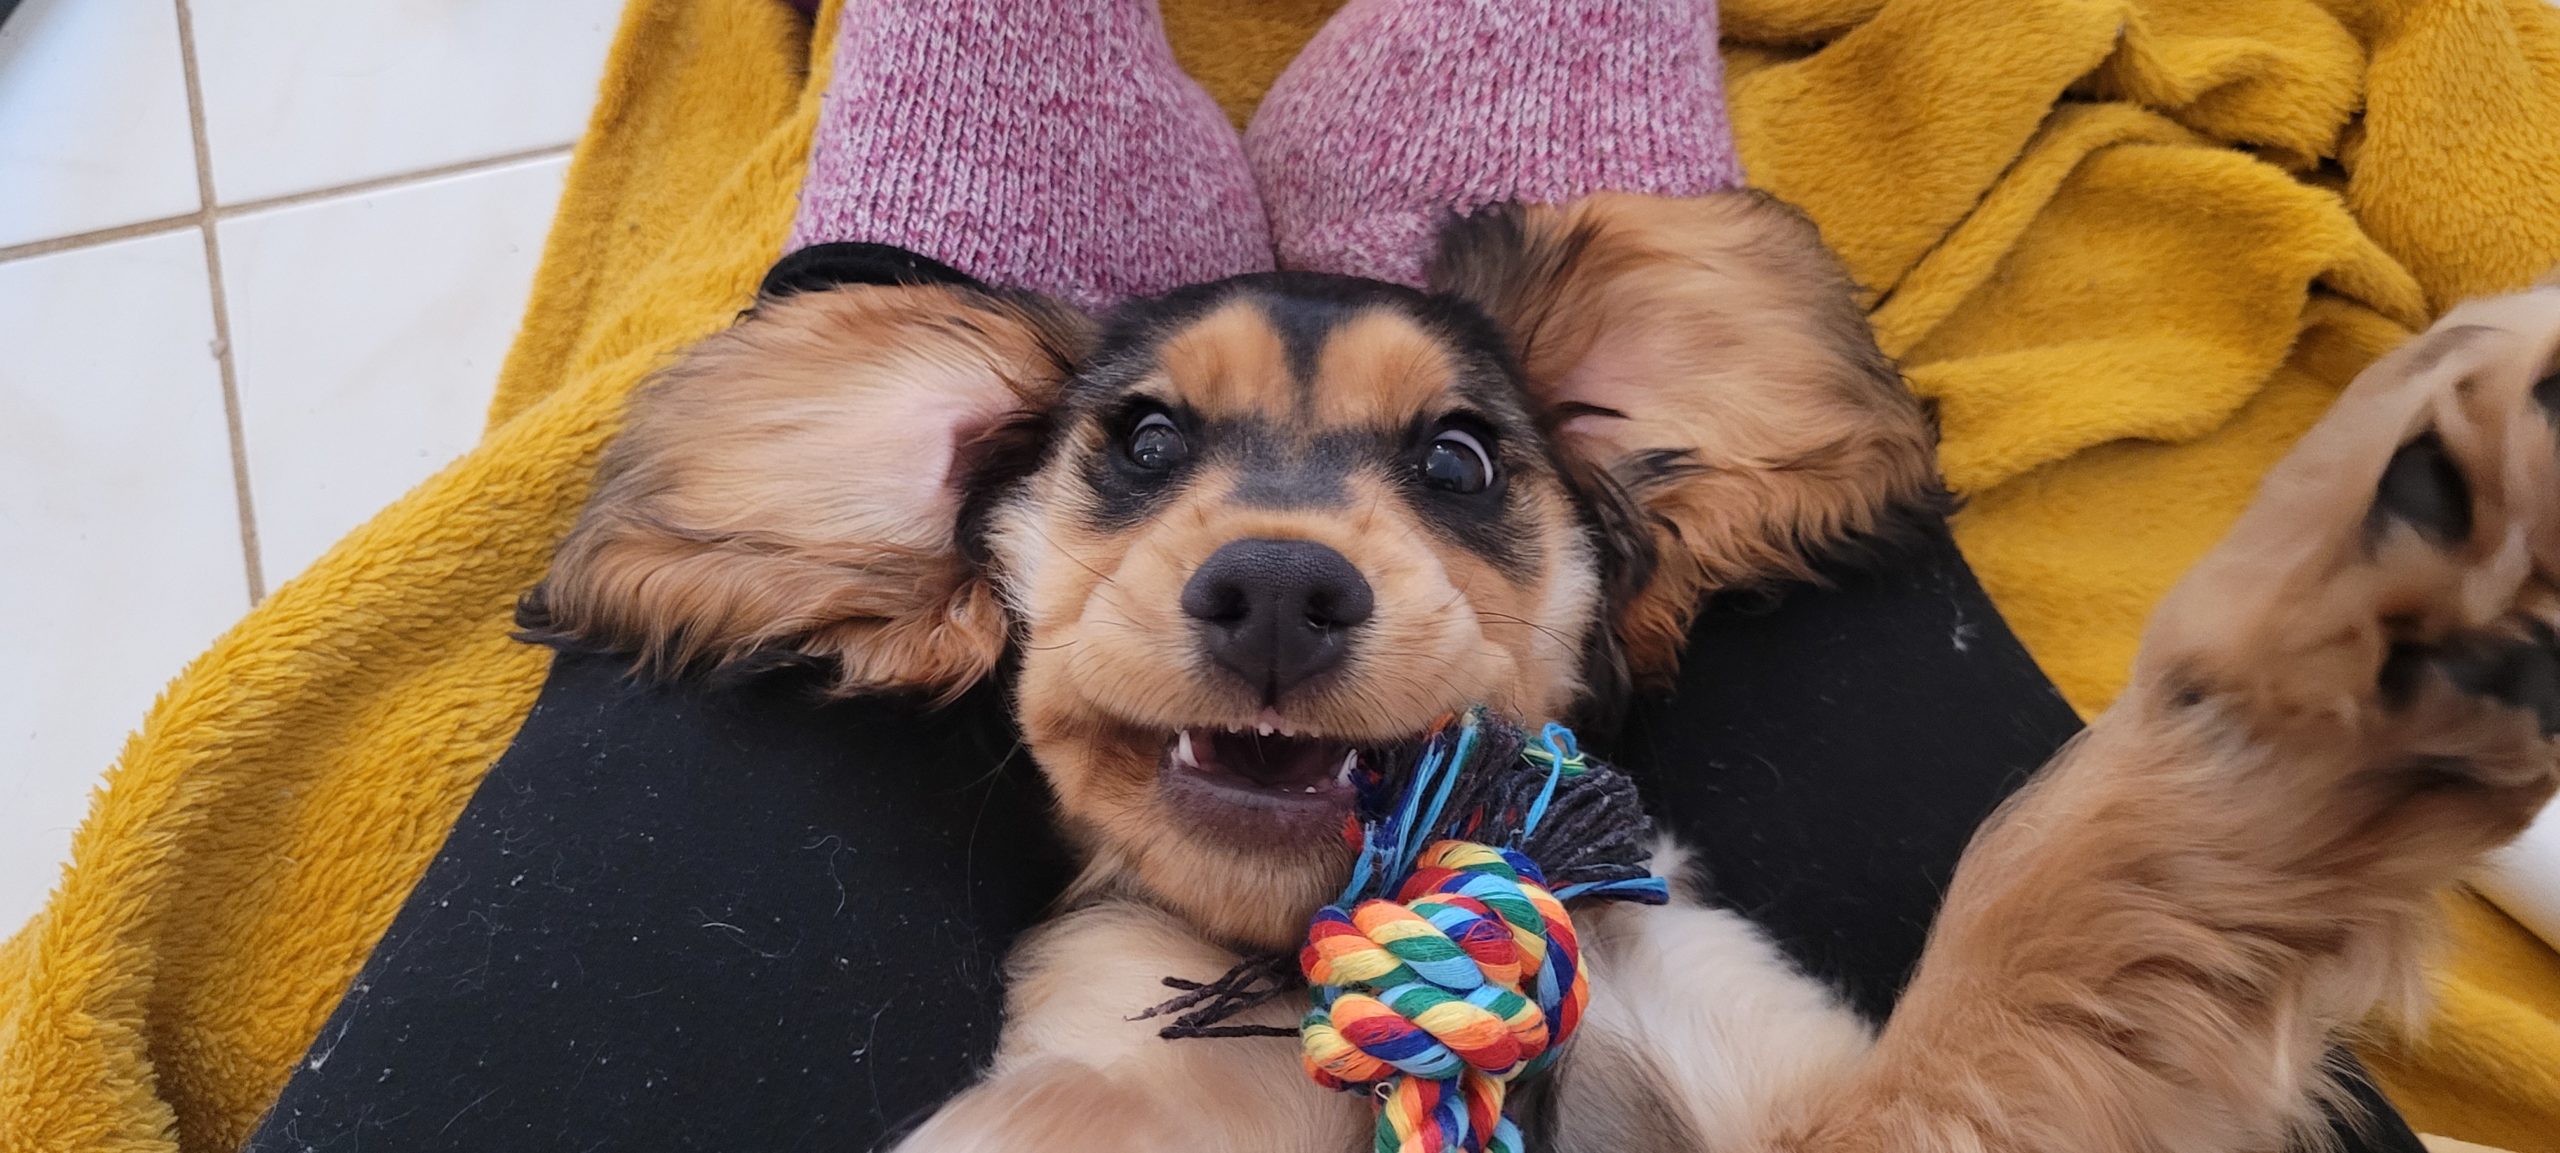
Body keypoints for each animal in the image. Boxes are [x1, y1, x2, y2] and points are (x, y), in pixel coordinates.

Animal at [524, 198, 2560, 1153]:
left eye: (1457, 459)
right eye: (1144, 438)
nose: (1277, 589)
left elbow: (2056, 900)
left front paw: (2340, 648)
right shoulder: (1106, 1069)